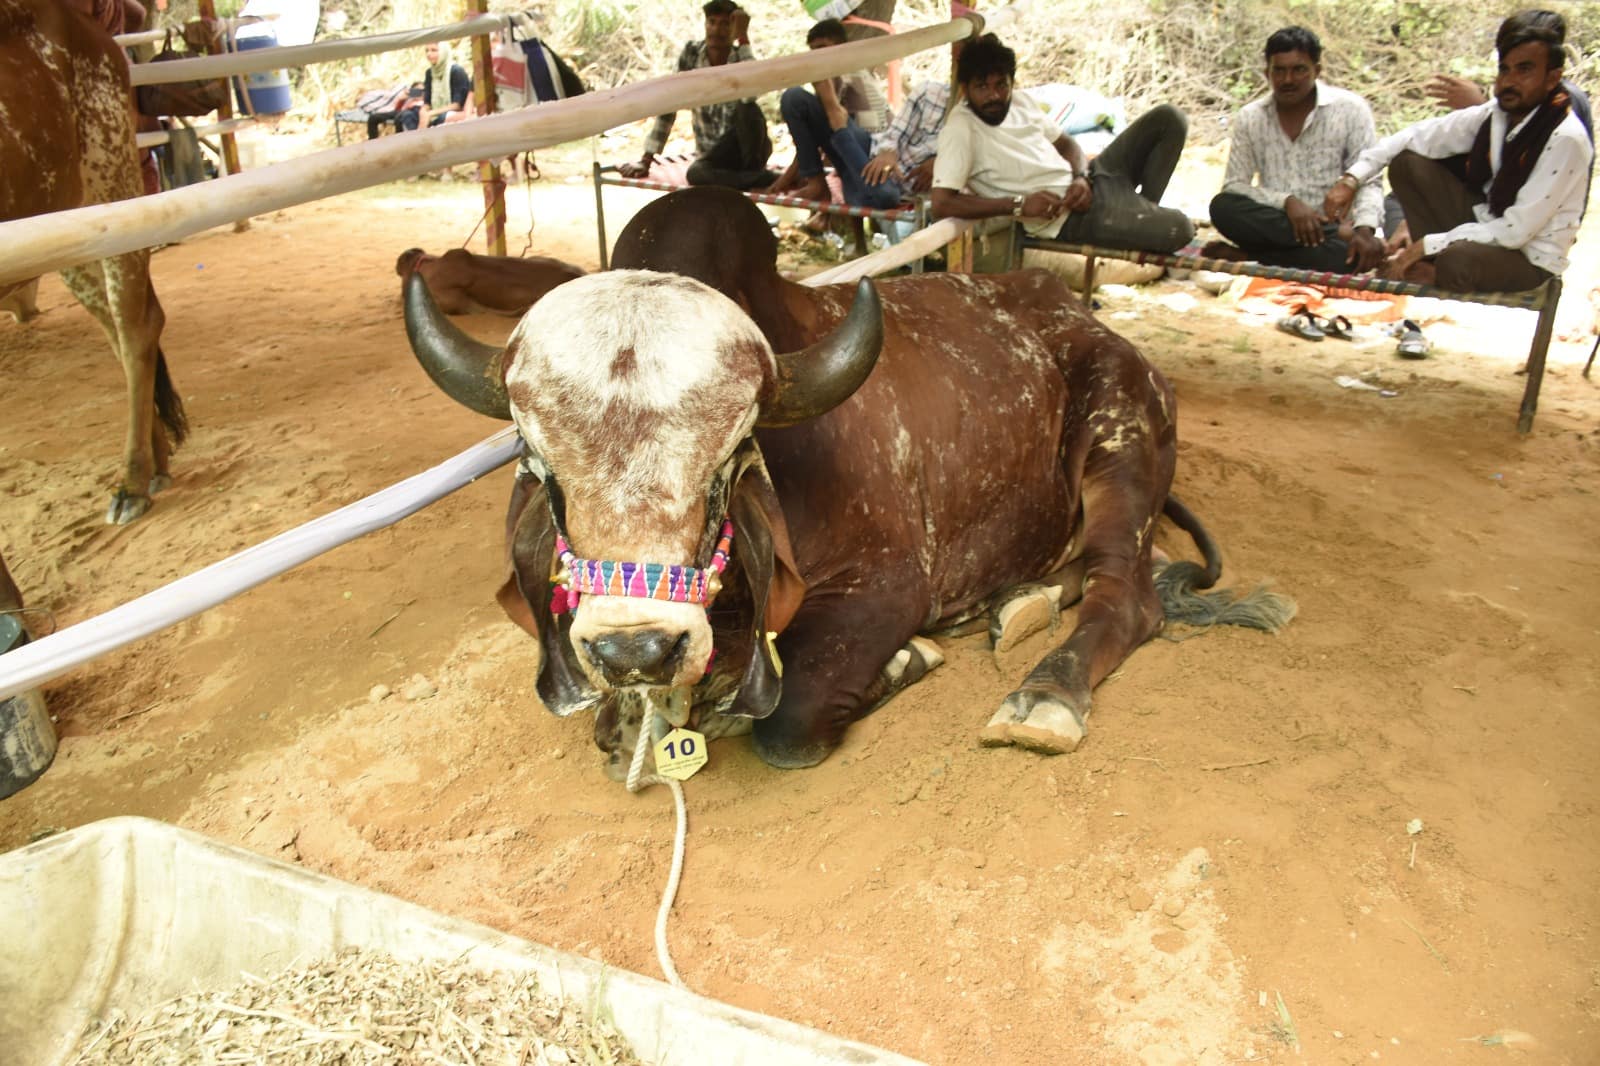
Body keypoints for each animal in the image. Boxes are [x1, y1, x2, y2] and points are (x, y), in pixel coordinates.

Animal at [0, 0, 185, 525]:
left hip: (112, 186)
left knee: (136, 327)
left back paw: (132, 480)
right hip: (65, 232)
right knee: (120, 332)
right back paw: (155, 461)